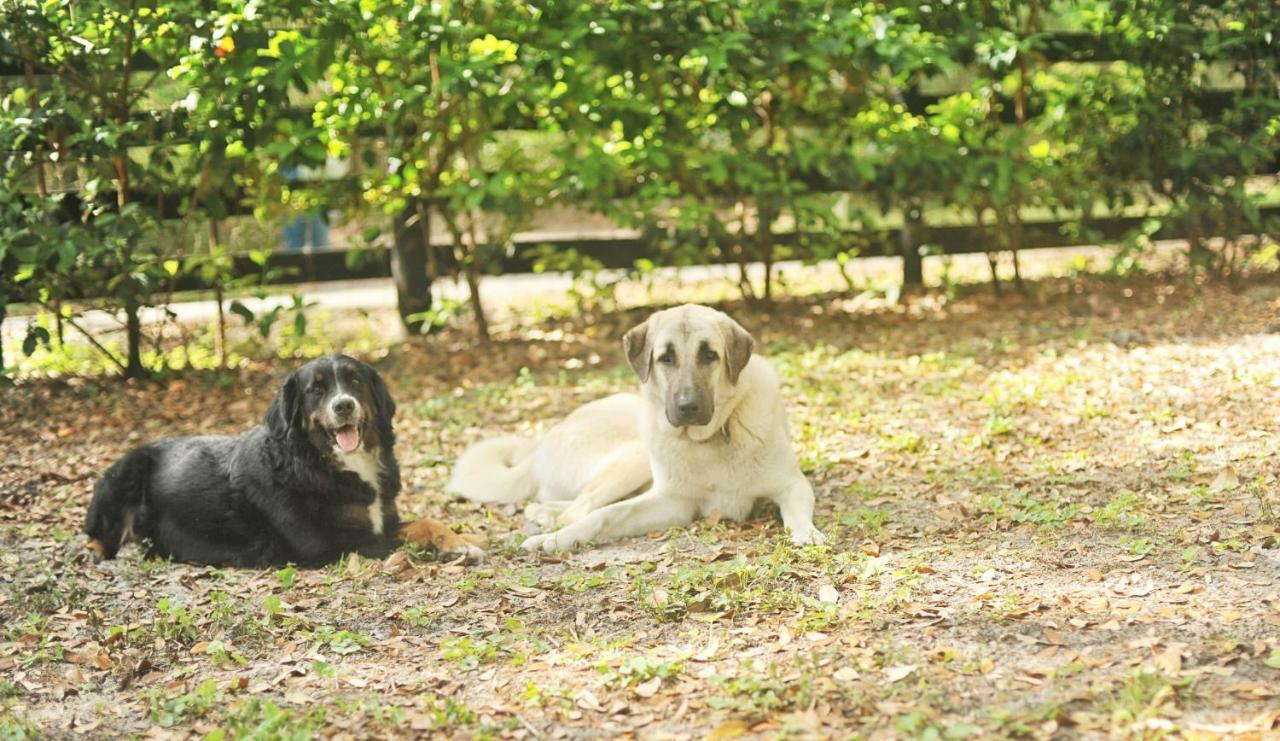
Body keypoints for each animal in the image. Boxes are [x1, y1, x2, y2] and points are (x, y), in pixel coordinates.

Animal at [83, 353, 483, 568]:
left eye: (354, 381)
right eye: (315, 389)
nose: (343, 405)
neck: (319, 463)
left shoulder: (383, 519)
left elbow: (426, 522)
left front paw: (463, 540)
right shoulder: (333, 545)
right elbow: (406, 541)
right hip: (121, 476)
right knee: (97, 536)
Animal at [445, 302, 824, 550]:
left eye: (710, 356)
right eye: (666, 358)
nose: (687, 407)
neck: (714, 435)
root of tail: (537, 450)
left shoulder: (791, 485)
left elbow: (796, 513)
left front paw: (806, 533)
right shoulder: (672, 502)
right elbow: (606, 516)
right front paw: (554, 541)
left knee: (567, 504)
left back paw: (543, 514)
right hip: (634, 455)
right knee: (584, 506)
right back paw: (550, 526)